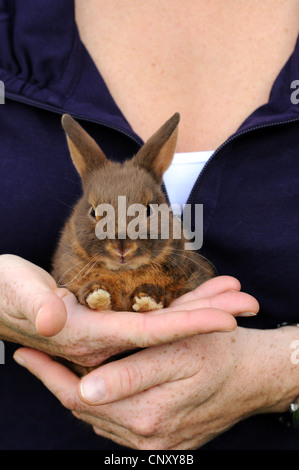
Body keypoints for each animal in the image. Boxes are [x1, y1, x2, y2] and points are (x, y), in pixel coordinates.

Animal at [52, 113, 216, 320]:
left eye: (148, 210)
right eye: (93, 212)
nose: (122, 247)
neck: (125, 270)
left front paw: (147, 297)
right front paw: (97, 294)